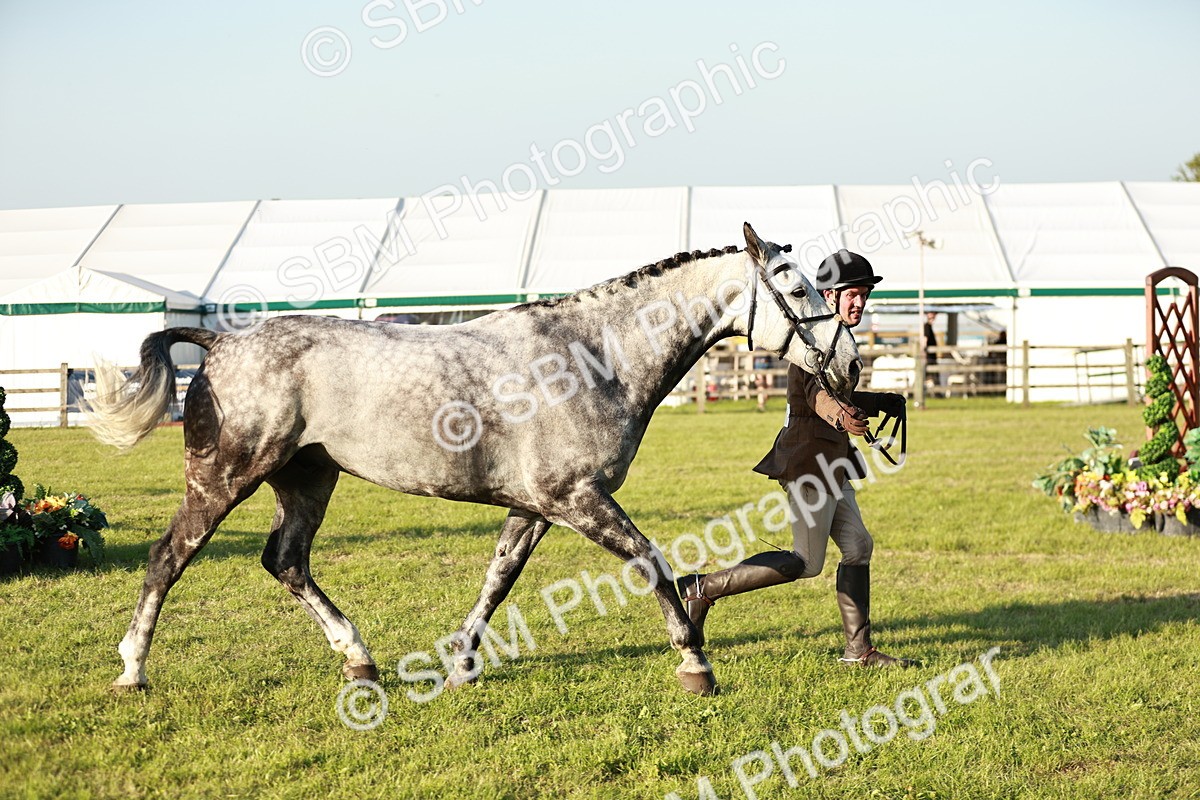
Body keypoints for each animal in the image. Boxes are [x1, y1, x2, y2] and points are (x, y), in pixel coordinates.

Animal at [87, 223, 862, 697]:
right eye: (797, 290)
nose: (851, 363)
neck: (595, 355)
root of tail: (219, 343)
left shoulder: (535, 507)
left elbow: (498, 579)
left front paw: (460, 664)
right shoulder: (577, 499)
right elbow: (652, 563)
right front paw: (695, 661)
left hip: (307, 479)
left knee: (287, 562)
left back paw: (359, 658)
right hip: (224, 478)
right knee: (168, 556)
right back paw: (132, 669)